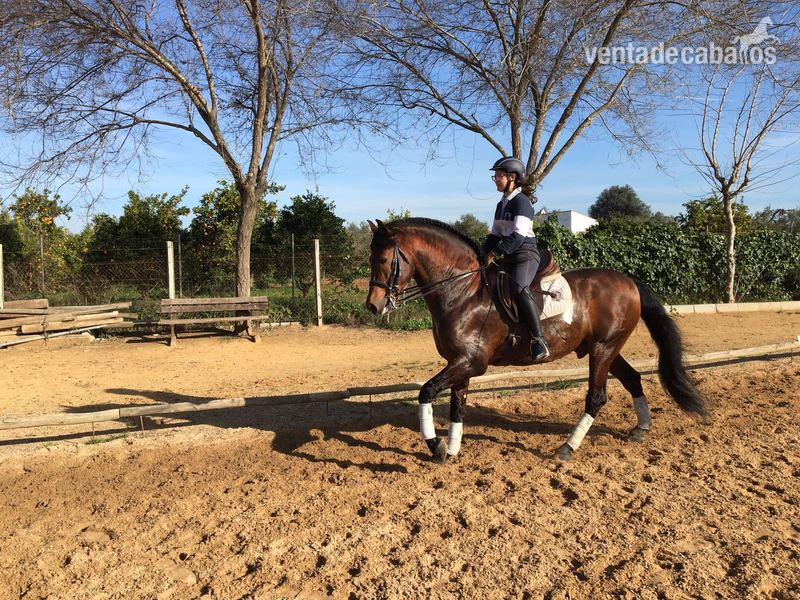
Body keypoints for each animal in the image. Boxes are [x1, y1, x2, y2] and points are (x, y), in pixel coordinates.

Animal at [365, 218, 707, 463]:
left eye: (383, 259)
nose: (373, 306)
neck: (462, 291)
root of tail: (628, 280)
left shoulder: (470, 363)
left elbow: (425, 392)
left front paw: (435, 446)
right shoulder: (460, 363)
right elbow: (456, 406)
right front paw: (451, 450)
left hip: (603, 349)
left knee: (596, 397)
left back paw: (567, 448)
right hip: (605, 348)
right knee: (632, 378)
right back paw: (640, 428)